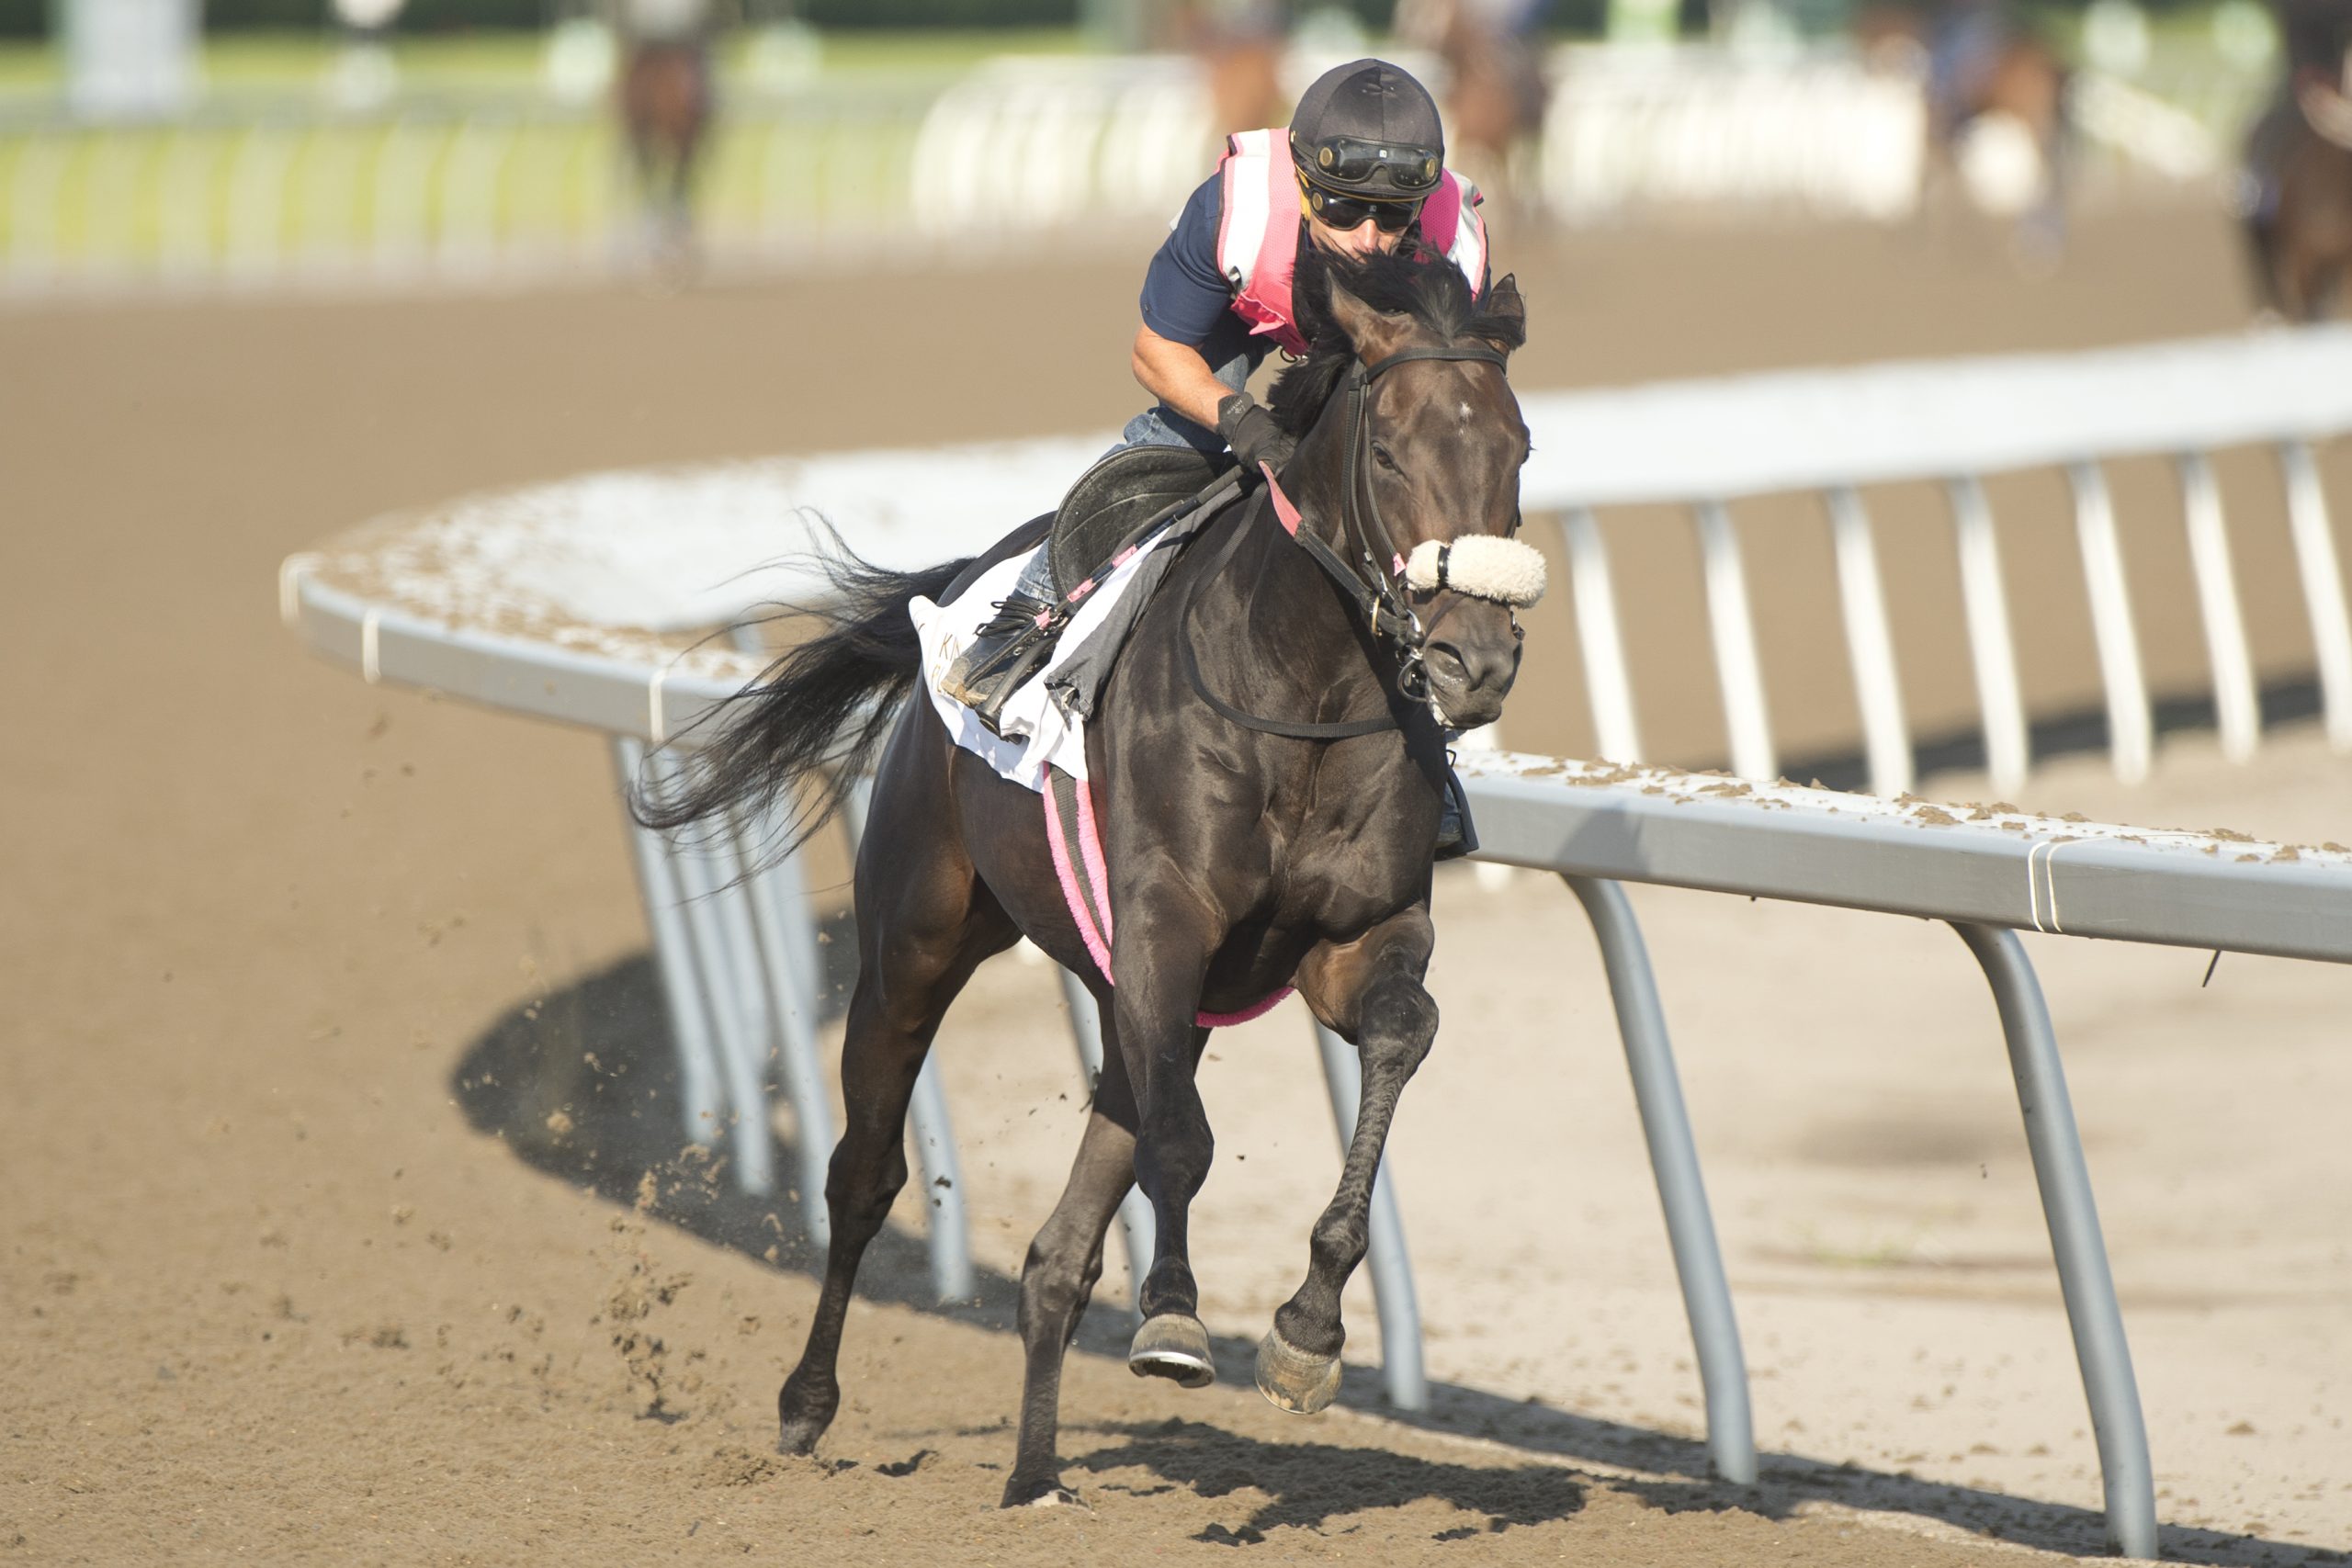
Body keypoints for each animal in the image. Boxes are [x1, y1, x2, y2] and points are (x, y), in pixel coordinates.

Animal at [635, 247, 1533, 1504]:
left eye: (1517, 448)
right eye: (1391, 451)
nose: (1473, 659)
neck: (1300, 690)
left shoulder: (1355, 938)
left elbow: (1401, 1034)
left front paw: (1307, 1332)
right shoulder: (1163, 927)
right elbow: (1184, 1142)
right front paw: (1174, 1320)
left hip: (1132, 996)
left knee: (1057, 1250)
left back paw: (1034, 1478)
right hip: (916, 939)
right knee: (864, 1175)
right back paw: (808, 1405)